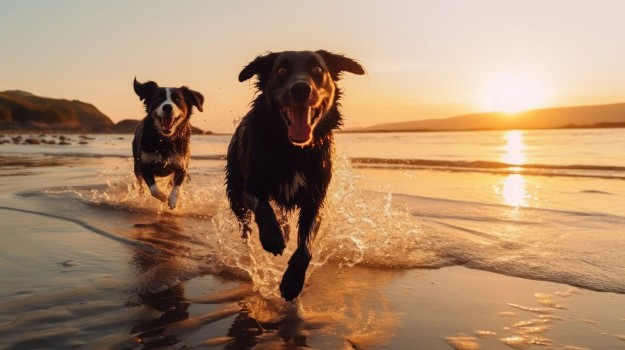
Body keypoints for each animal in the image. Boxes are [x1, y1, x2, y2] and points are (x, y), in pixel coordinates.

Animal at [133, 79, 204, 209]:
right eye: (159, 98)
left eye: (177, 99)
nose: (167, 107)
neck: (165, 141)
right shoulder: (145, 164)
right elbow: (153, 188)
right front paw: (162, 196)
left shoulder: (181, 164)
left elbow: (177, 185)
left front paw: (173, 200)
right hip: (136, 164)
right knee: (140, 183)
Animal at [224, 50, 364, 300]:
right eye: (281, 70)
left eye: (317, 69)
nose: (300, 89)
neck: (293, 150)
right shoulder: (252, 185)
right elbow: (262, 207)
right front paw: (271, 238)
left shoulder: (315, 200)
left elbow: (306, 246)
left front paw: (291, 283)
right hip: (235, 194)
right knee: (246, 227)